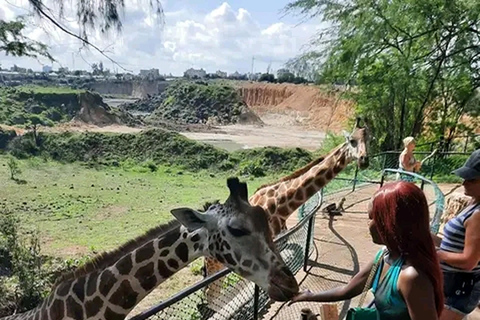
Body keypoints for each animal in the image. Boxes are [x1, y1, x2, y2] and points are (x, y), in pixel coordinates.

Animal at [202, 118, 372, 308]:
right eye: (352, 140)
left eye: (370, 140)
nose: (364, 160)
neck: (281, 205)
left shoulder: (278, 242)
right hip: (215, 262)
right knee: (211, 290)